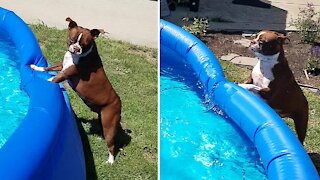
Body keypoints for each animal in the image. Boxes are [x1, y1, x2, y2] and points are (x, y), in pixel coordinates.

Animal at [30, 17, 122, 165]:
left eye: (84, 45)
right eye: (72, 40)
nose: (76, 48)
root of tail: (119, 102)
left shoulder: (64, 74)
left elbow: (51, 80)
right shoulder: (61, 66)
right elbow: (48, 68)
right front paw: (35, 67)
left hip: (110, 122)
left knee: (112, 144)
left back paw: (110, 160)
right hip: (101, 117)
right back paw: (98, 137)